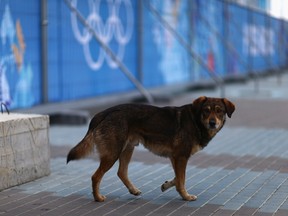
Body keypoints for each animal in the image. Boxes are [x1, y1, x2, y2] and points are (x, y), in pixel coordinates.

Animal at [67, 96, 234, 201]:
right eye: (206, 110)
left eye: (219, 111)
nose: (212, 123)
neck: (196, 120)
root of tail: (104, 113)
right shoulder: (181, 157)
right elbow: (182, 179)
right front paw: (185, 196)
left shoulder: (175, 157)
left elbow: (178, 178)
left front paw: (167, 185)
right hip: (113, 154)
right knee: (96, 176)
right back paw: (97, 197)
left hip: (127, 149)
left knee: (121, 172)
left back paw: (133, 190)